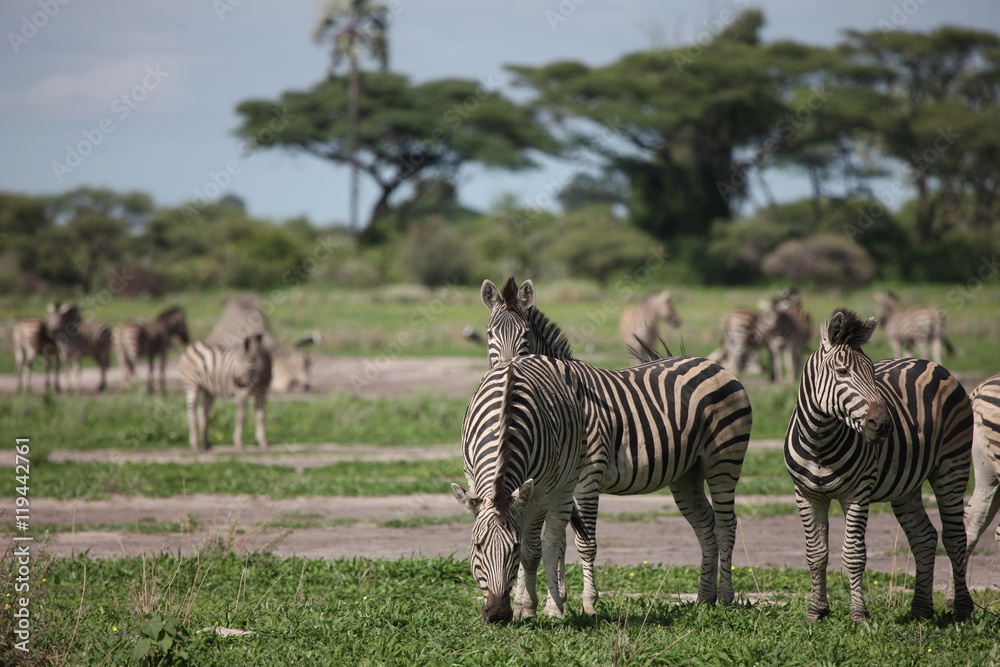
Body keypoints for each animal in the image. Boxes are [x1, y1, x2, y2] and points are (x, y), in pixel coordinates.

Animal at [452, 354, 587, 623]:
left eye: (512, 548)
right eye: (478, 546)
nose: (496, 614)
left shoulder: (540, 494)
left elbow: (531, 552)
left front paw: (529, 607)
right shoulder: (474, 480)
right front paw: (520, 606)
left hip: (566, 482)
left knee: (553, 543)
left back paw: (552, 607)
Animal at [481, 276, 753, 613]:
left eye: (525, 334)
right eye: (489, 333)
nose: (506, 368)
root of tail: (712, 364)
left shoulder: (586, 477)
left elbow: (581, 542)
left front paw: (585, 603)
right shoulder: (551, 483)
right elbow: (550, 541)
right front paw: (545, 600)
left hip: (724, 459)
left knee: (727, 524)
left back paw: (726, 598)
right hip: (687, 471)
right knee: (706, 525)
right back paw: (705, 598)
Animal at [784, 308, 973, 622]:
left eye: (872, 373)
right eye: (842, 372)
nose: (882, 425)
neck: (819, 442)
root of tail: (928, 362)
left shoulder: (858, 493)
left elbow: (853, 554)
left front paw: (858, 614)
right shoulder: (806, 494)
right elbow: (816, 554)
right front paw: (815, 611)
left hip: (952, 466)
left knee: (955, 537)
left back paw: (962, 610)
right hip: (906, 485)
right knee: (924, 537)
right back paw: (920, 610)